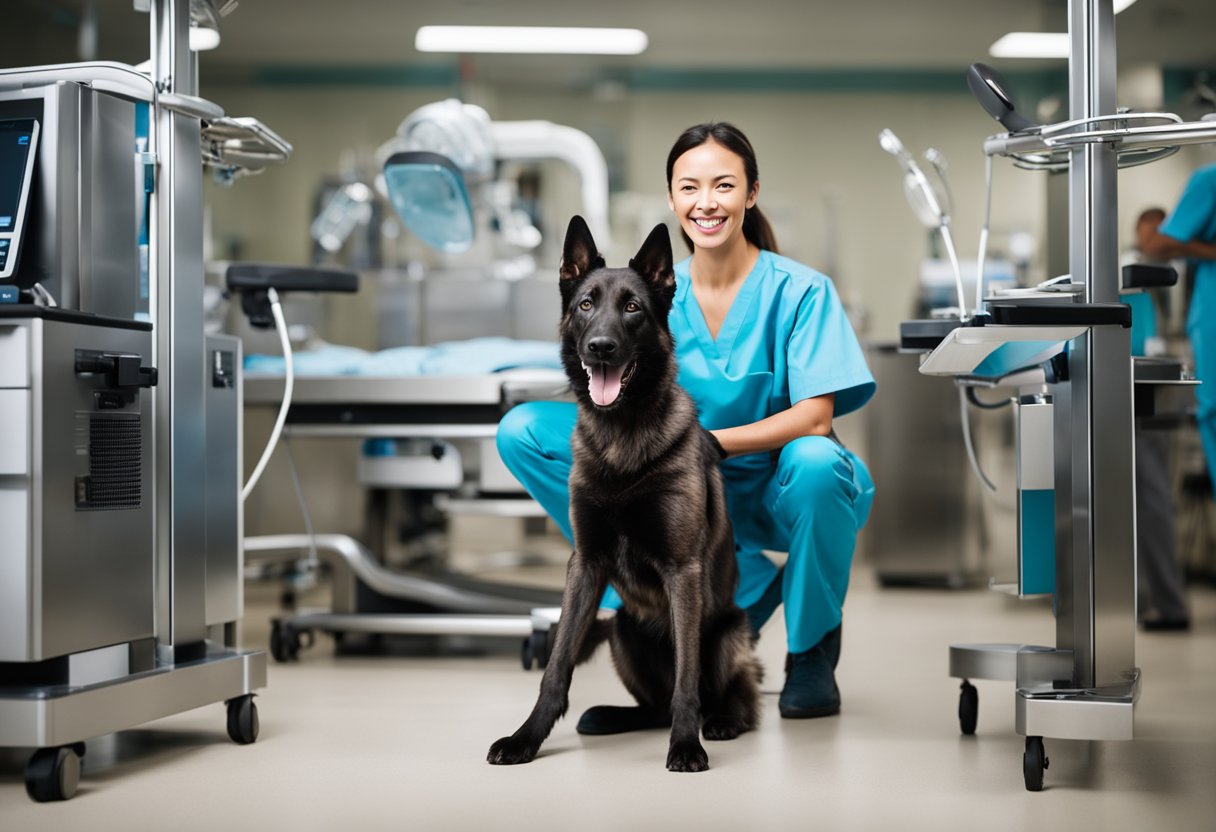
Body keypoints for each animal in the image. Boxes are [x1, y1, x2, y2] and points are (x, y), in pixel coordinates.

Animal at [486, 216, 758, 773]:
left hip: (727, 631)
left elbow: (686, 679)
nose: (601, 347)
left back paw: (721, 721)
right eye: (586, 304)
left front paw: (686, 746)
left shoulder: (683, 572)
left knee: (734, 694)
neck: (621, 437)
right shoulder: (585, 565)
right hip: (621, 631)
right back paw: (611, 717)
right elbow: (556, 666)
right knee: (651, 706)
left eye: (633, 308)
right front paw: (526, 738)